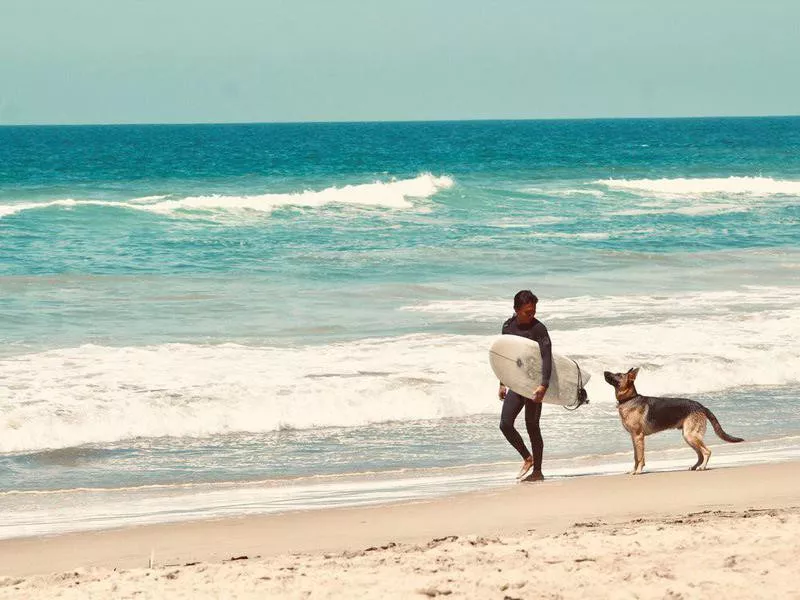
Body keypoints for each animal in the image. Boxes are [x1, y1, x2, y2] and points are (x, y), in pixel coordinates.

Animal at [604, 368, 748, 476]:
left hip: (690, 436)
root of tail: (700, 406)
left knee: (707, 452)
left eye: (618, 375)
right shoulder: (635, 438)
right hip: (688, 437)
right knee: (700, 455)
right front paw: (634, 470)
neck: (629, 399)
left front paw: (638, 471)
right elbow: (636, 457)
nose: (604, 371)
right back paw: (695, 467)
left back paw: (702, 467)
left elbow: (639, 457)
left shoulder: (638, 436)